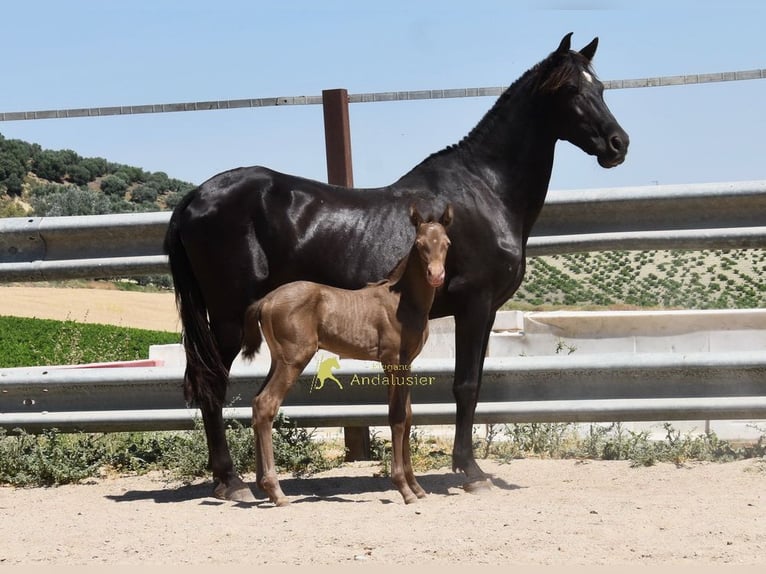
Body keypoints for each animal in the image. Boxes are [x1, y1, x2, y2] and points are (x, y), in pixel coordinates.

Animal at [241, 204, 452, 506]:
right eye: (420, 244)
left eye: (446, 243)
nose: (436, 275)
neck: (403, 302)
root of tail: (266, 300)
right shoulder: (391, 362)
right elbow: (397, 417)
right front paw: (404, 488)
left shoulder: (406, 364)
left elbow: (408, 416)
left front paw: (417, 487)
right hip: (294, 359)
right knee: (266, 404)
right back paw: (277, 491)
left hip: (277, 359)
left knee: (256, 402)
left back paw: (263, 486)